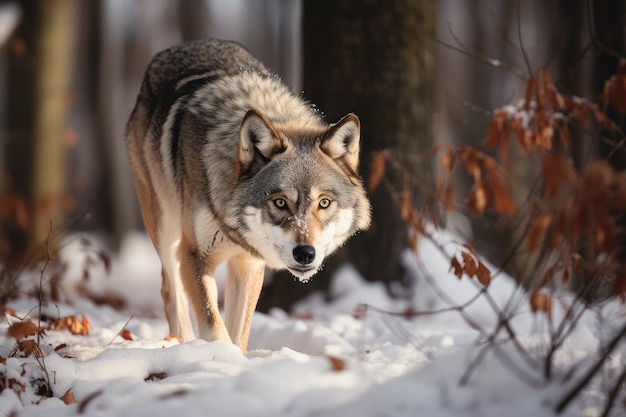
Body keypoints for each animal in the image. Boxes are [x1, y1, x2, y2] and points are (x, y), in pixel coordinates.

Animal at [127, 38, 370, 352]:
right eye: (280, 202)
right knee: (169, 289)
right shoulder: (193, 256)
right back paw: (182, 342)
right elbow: (215, 327)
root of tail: (188, 44)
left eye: (324, 203)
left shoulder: (249, 262)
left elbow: (238, 335)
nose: (305, 253)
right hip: (167, 234)